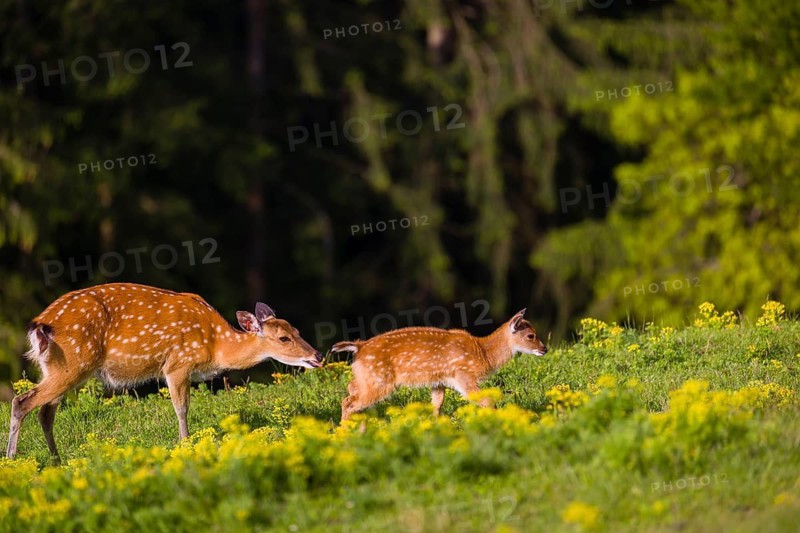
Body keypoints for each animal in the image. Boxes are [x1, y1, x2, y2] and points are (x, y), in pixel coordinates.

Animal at [6, 282, 323, 460]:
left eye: (296, 329)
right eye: (284, 338)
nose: (317, 356)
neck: (215, 345)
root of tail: (39, 325)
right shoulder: (178, 362)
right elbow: (181, 408)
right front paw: (186, 445)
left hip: (60, 368)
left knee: (45, 413)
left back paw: (57, 461)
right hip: (72, 363)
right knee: (21, 401)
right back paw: (12, 459)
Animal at [332, 308, 547, 421]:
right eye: (531, 335)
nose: (544, 349)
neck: (484, 353)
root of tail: (359, 347)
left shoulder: (439, 382)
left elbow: (436, 405)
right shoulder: (464, 374)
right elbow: (487, 401)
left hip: (366, 377)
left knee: (350, 389)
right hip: (380, 381)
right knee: (349, 401)